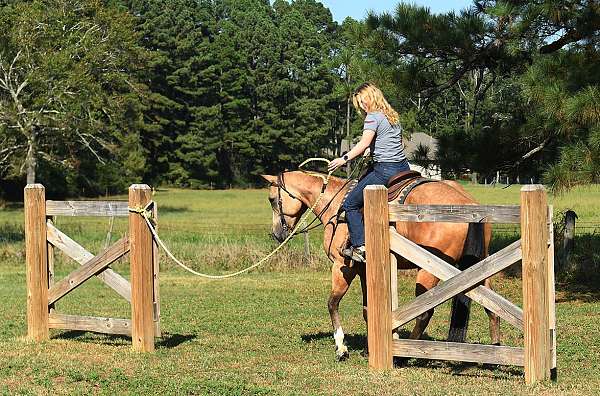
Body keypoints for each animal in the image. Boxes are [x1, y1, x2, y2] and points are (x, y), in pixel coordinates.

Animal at [260, 172, 500, 360]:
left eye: (272, 199)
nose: (277, 234)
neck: (336, 206)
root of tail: (469, 205)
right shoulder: (364, 270)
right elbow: (368, 310)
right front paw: (368, 348)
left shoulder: (343, 267)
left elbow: (332, 303)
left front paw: (341, 347)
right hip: (479, 267)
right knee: (492, 308)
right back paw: (496, 351)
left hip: (429, 270)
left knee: (425, 313)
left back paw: (405, 355)